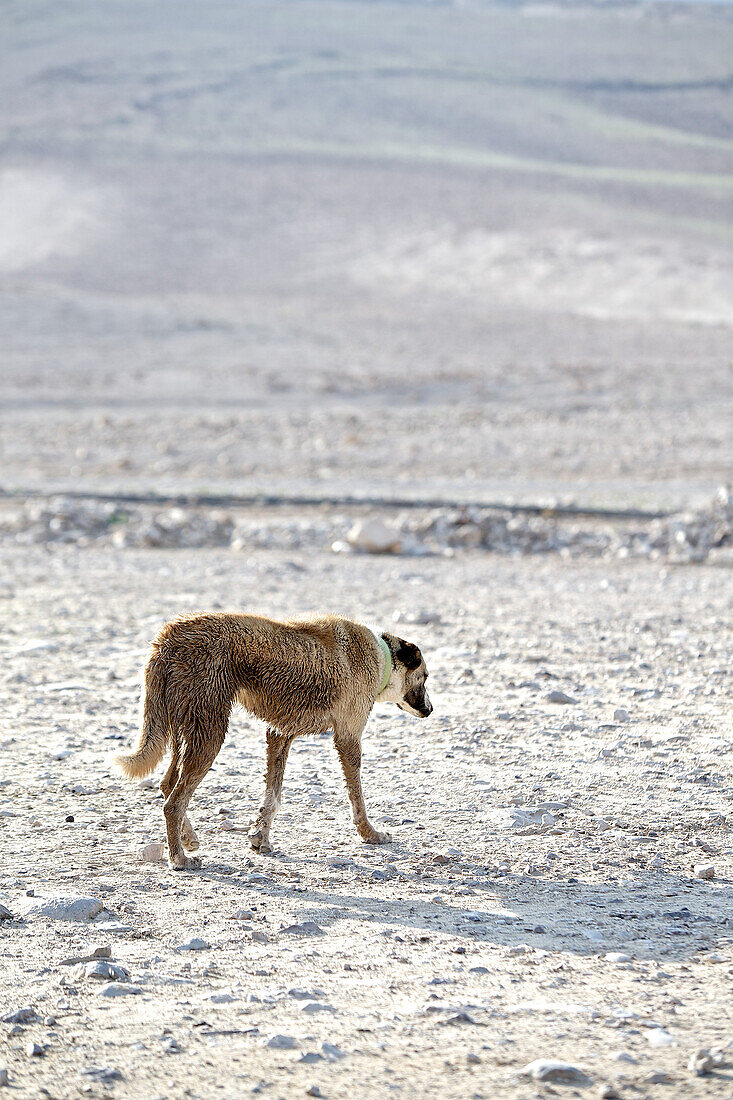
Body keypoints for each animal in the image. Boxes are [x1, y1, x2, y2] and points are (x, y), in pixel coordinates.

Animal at [117, 611, 431, 866]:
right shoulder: (348, 738)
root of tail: (168, 638)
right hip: (210, 733)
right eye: (425, 677)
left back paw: (187, 839)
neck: (382, 654)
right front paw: (369, 833)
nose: (430, 709)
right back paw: (179, 859)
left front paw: (260, 837)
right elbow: (357, 798)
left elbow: (273, 797)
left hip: (182, 729)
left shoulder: (280, 735)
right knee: (174, 802)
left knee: (168, 784)